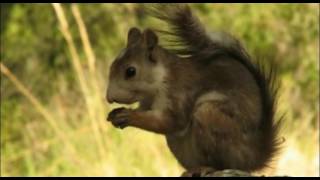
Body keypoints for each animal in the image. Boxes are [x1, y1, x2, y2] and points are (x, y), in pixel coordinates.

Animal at [106, 4, 282, 177]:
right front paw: (116, 115)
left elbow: (169, 121)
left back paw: (207, 168)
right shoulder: (147, 103)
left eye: (130, 71)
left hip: (210, 116)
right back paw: (191, 170)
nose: (109, 97)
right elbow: (146, 112)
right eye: (112, 65)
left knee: (225, 164)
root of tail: (254, 157)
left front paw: (129, 115)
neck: (159, 80)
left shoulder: (179, 94)